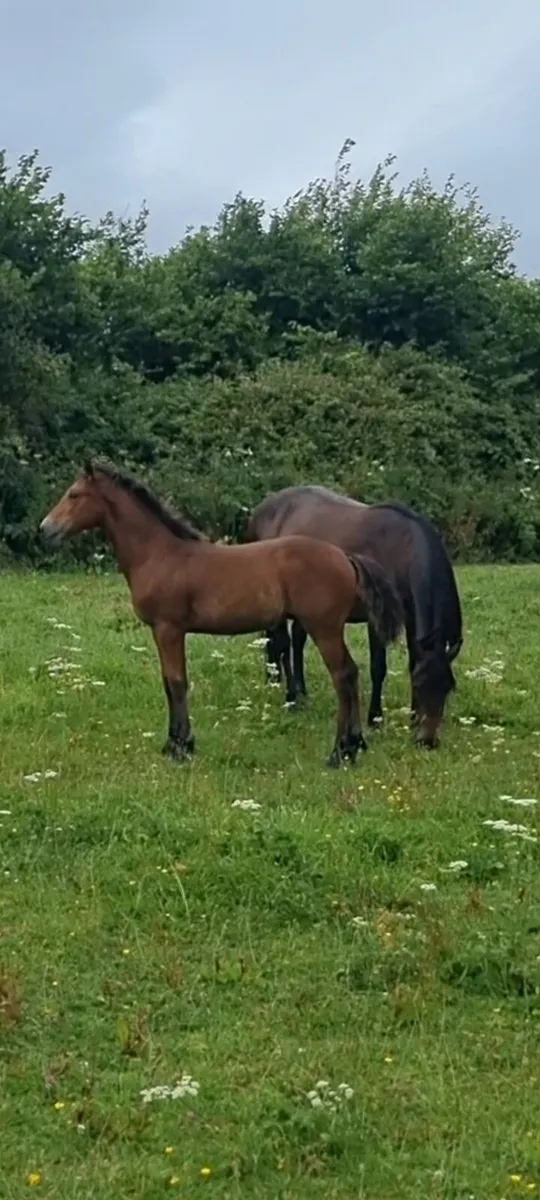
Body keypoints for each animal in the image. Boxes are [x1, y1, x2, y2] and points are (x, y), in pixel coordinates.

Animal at [39, 464, 404, 768]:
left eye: (74, 494)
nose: (46, 529)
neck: (160, 555)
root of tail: (346, 557)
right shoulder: (166, 631)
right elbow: (170, 682)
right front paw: (176, 743)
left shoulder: (168, 629)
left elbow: (176, 683)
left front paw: (180, 747)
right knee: (351, 675)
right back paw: (354, 746)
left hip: (324, 628)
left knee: (343, 677)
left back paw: (339, 753)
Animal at [245, 484, 463, 749]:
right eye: (421, 686)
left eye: (448, 687)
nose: (427, 742)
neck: (401, 549)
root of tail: (263, 509)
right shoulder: (377, 619)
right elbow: (378, 668)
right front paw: (375, 718)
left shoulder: (412, 619)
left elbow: (413, 660)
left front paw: (410, 718)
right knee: (281, 644)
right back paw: (288, 695)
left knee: (295, 641)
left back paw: (299, 691)